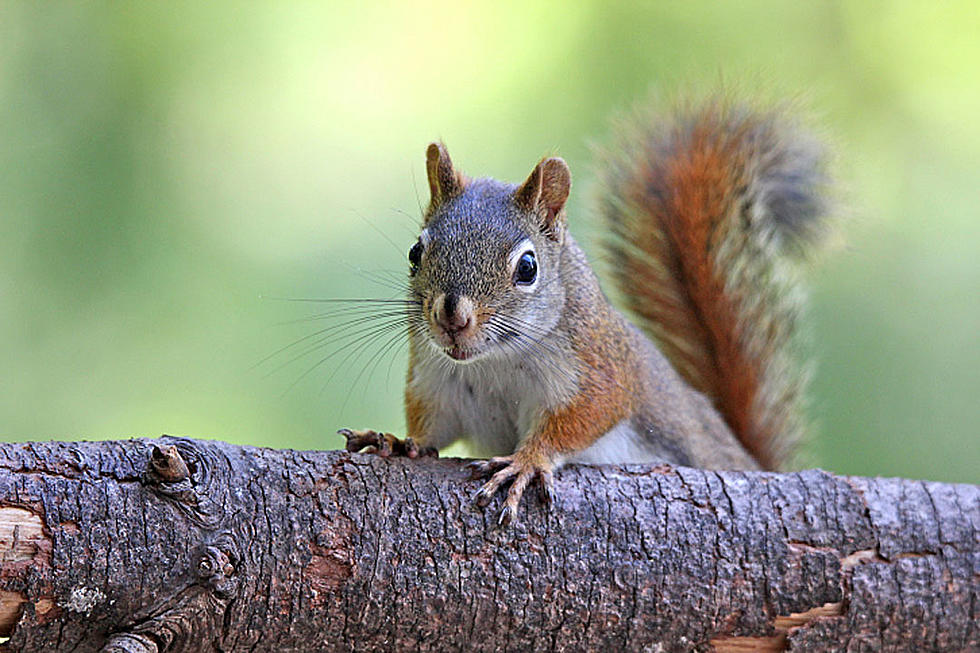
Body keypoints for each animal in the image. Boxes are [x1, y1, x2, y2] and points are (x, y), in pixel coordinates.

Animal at [336, 97, 828, 524]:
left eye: (528, 267)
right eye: (415, 253)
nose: (452, 317)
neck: (495, 362)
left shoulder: (598, 366)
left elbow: (585, 415)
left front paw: (527, 461)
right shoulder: (437, 383)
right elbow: (432, 429)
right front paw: (399, 442)